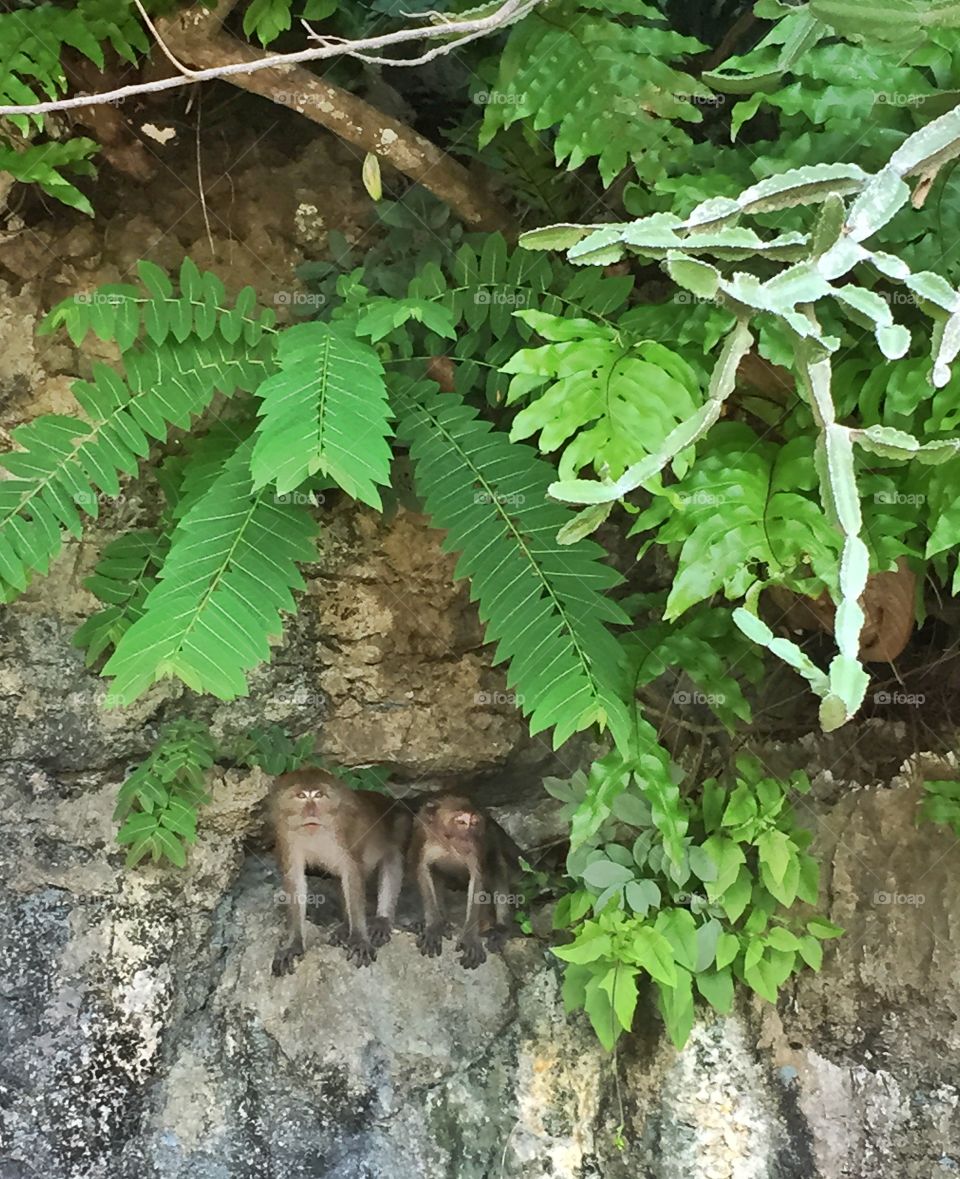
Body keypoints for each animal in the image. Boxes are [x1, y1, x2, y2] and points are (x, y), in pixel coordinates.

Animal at [270, 768, 411, 975]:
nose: (311, 812)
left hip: (400, 824)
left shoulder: (347, 831)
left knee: (393, 856)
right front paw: (294, 943)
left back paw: (382, 920)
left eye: (318, 795)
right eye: (301, 796)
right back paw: (345, 925)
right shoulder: (286, 835)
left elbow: (352, 872)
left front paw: (359, 938)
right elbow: (295, 878)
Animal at [409, 793, 522, 969]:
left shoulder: (478, 846)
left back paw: (501, 928)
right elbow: (423, 870)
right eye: (461, 822)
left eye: (474, 823)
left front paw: (470, 937)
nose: (469, 836)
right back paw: (441, 921)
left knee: (496, 867)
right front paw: (433, 926)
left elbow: (477, 879)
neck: (448, 845)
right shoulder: (422, 834)